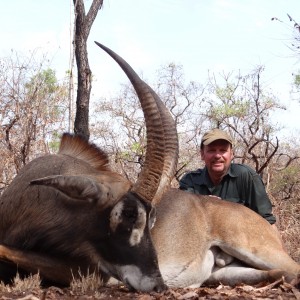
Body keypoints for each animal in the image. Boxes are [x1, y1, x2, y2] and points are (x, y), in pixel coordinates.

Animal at [0, 42, 298, 290]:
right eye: (127, 216)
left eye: (150, 221)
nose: (159, 285)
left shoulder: (91, 271)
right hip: (224, 271)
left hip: (258, 250)